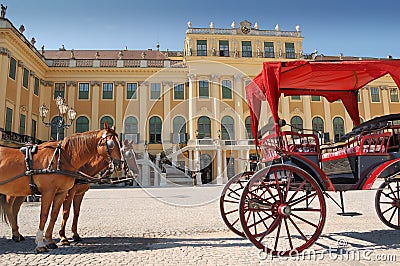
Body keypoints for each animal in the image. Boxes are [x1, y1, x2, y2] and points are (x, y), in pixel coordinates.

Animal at [0, 121, 122, 252]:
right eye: (111, 143)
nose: (120, 164)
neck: (62, 158)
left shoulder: (66, 192)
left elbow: (59, 214)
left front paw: (51, 240)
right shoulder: (52, 192)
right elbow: (49, 214)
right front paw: (45, 242)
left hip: (20, 192)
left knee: (14, 209)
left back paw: (17, 234)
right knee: (11, 209)